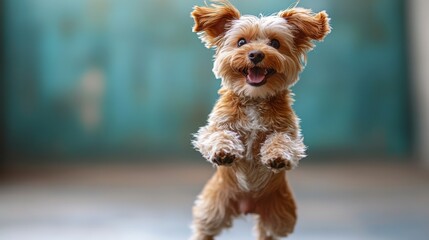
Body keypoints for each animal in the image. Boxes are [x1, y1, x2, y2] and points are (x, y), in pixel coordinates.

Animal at [189, 0, 330, 239]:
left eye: (275, 43)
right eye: (241, 42)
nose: (255, 54)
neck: (255, 99)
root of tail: (248, 206)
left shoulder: (290, 134)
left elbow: (281, 140)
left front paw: (277, 156)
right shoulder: (213, 128)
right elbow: (219, 134)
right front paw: (224, 151)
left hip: (279, 216)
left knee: (268, 232)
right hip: (212, 208)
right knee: (204, 229)